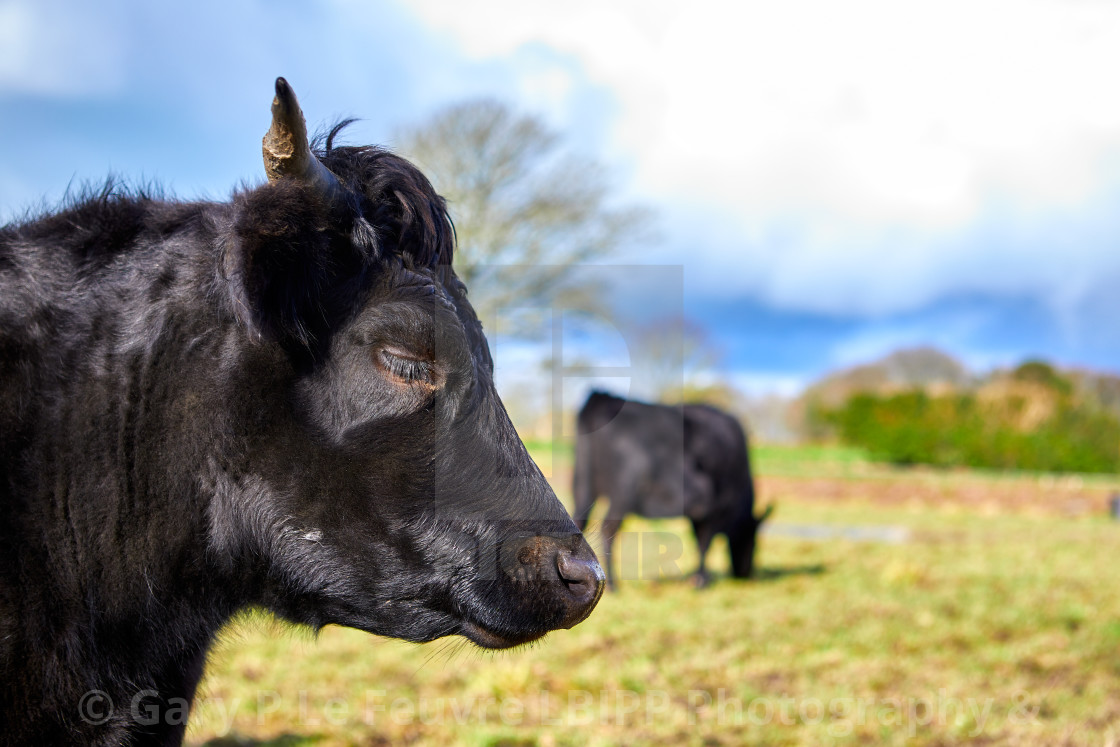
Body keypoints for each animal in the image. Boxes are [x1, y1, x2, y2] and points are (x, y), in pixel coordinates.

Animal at [568, 391, 770, 591]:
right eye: (754, 541)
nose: (744, 574)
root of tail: (603, 397)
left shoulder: (699, 512)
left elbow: (698, 540)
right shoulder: (716, 509)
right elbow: (705, 542)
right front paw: (701, 580)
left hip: (583, 485)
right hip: (623, 494)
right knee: (608, 529)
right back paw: (612, 584)